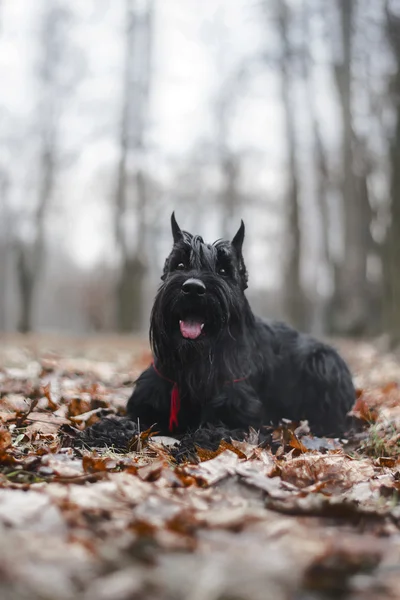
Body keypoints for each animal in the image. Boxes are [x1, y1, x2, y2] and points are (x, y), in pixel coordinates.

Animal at [126, 214, 354, 436]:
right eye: (180, 265)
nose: (193, 288)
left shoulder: (236, 412)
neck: (195, 360)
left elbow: (213, 429)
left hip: (324, 361)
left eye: (223, 270)